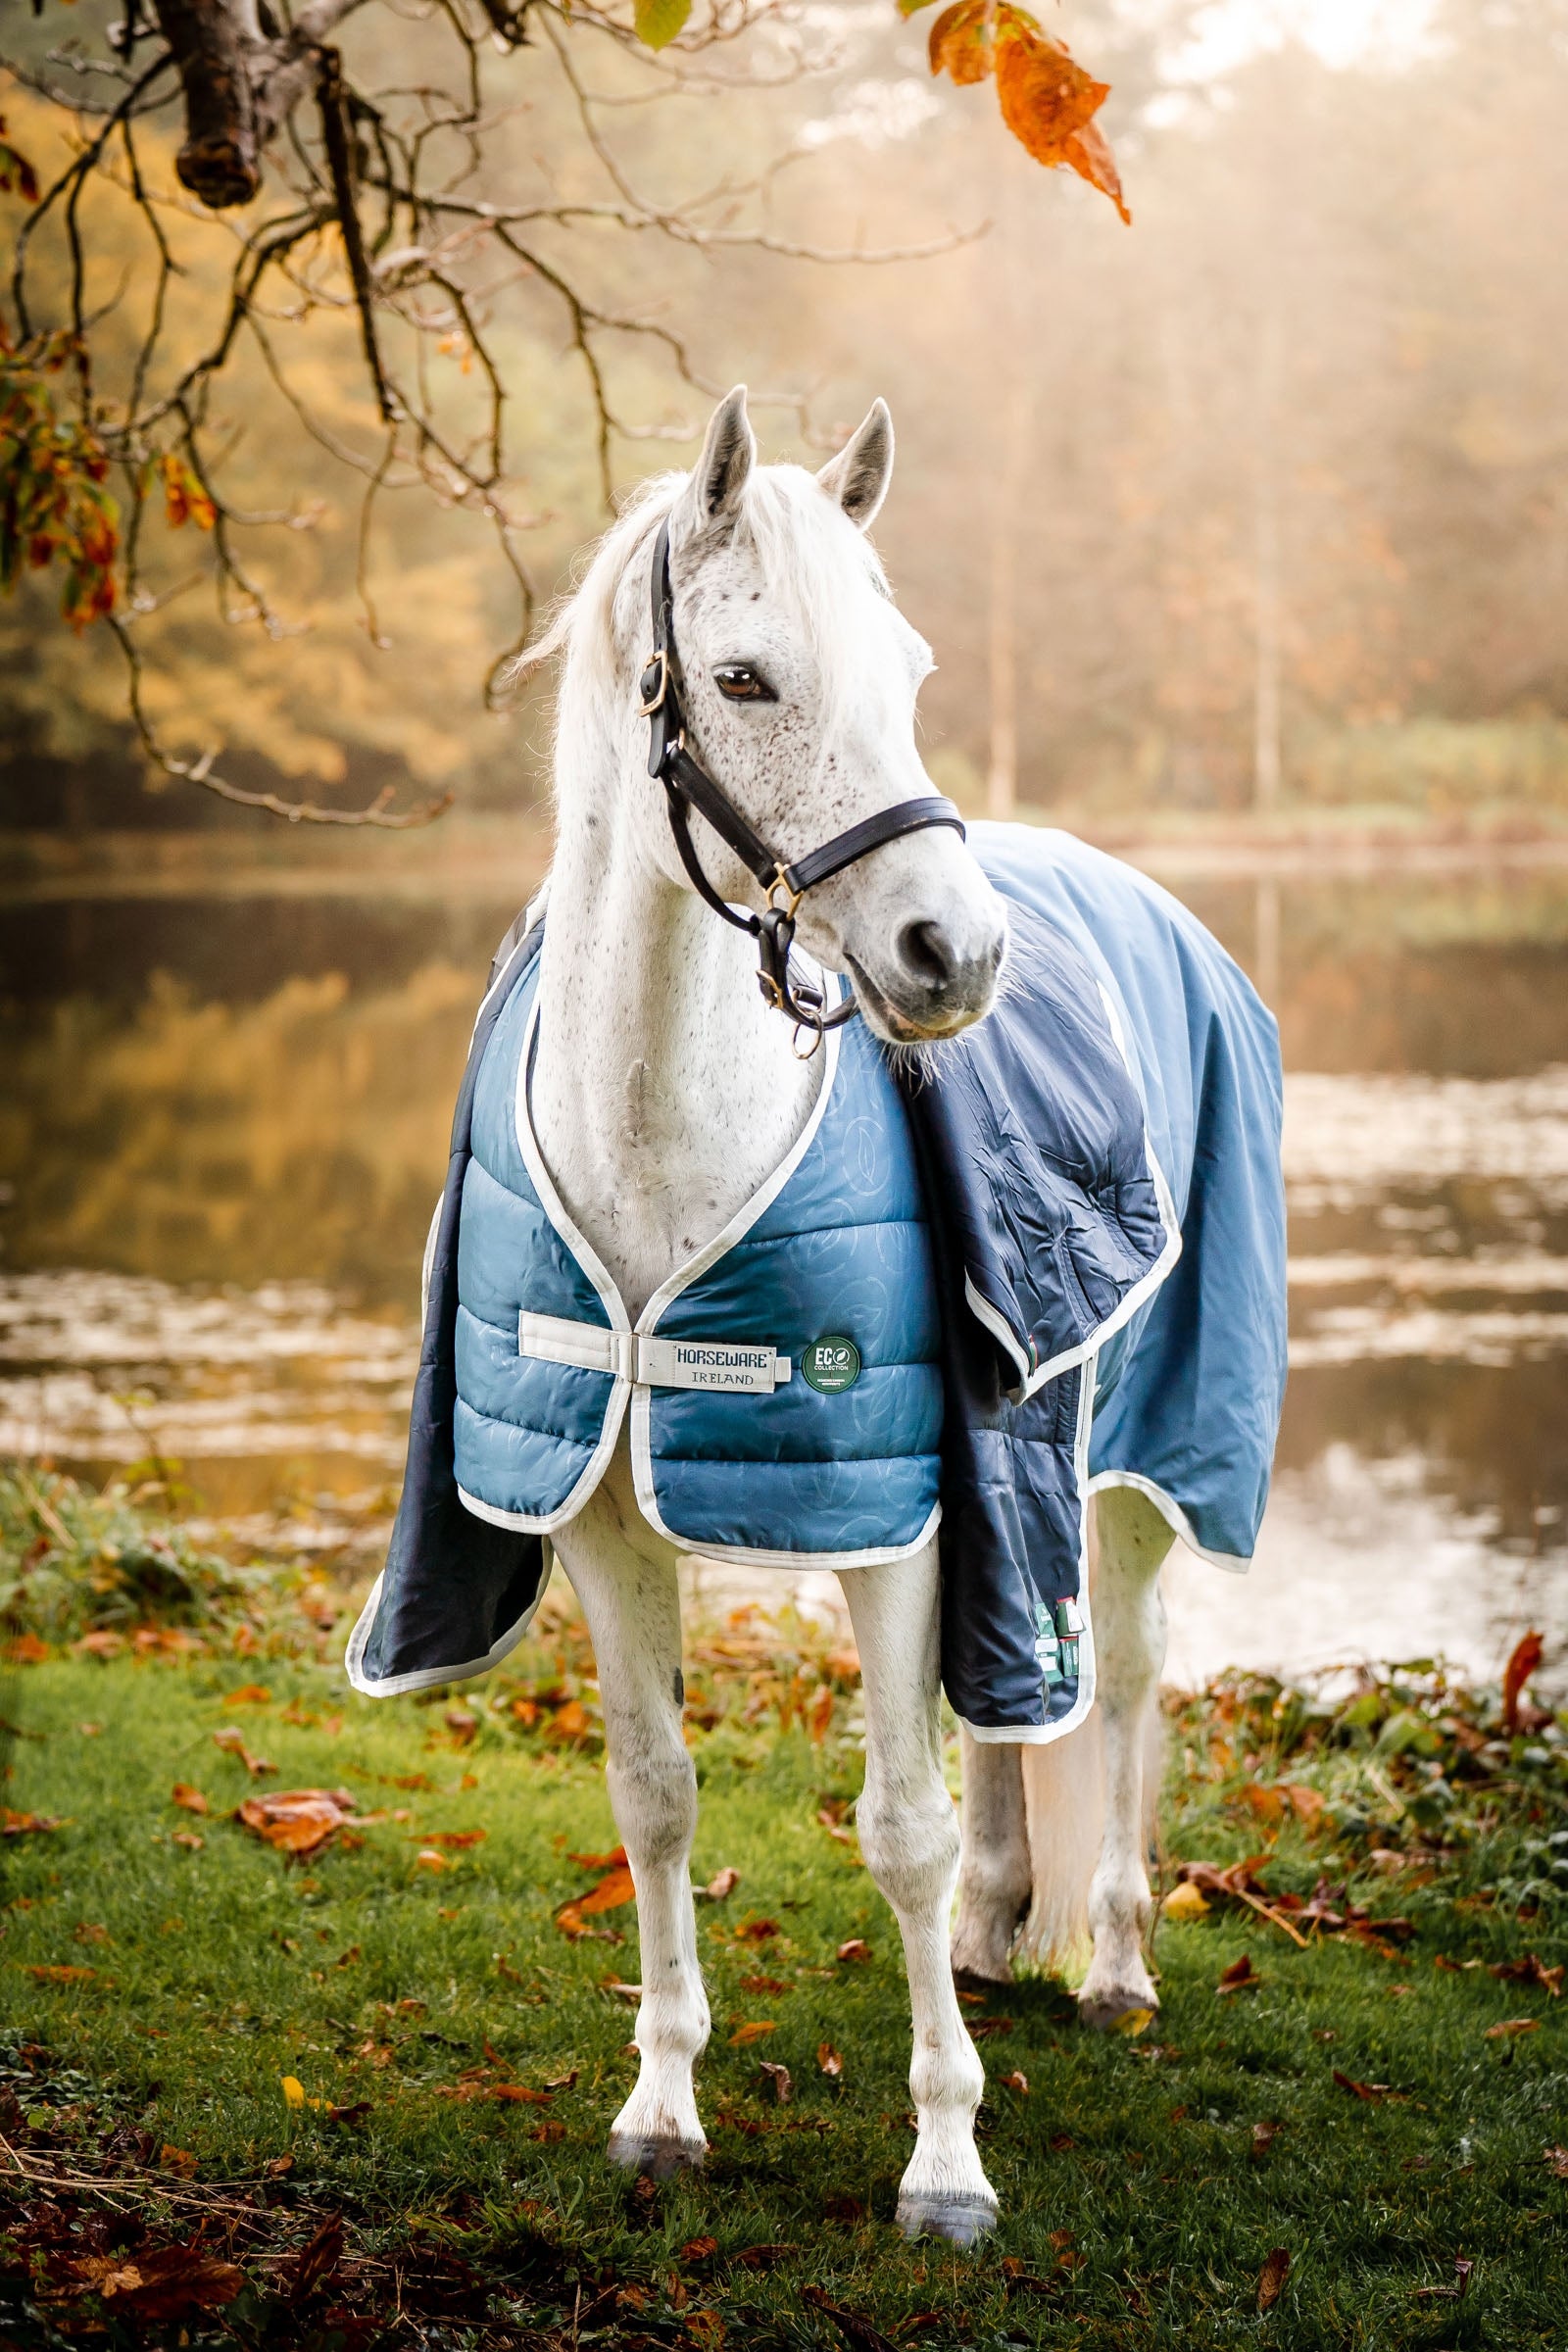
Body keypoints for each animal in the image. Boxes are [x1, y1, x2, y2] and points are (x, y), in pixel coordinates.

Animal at [356, 384, 1284, 2245]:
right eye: (744, 679)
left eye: (911, 670)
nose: (953, 954)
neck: (663, 1143)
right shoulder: (605, 1519)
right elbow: (655, 1800)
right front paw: (660, 2108)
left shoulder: (891, 1524)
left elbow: (898, 1833)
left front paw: (945, 2161)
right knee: (1022, 1717)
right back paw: (1003, 1933)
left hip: (1136, 1467)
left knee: (1123, 1680)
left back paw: (1115, 1964)